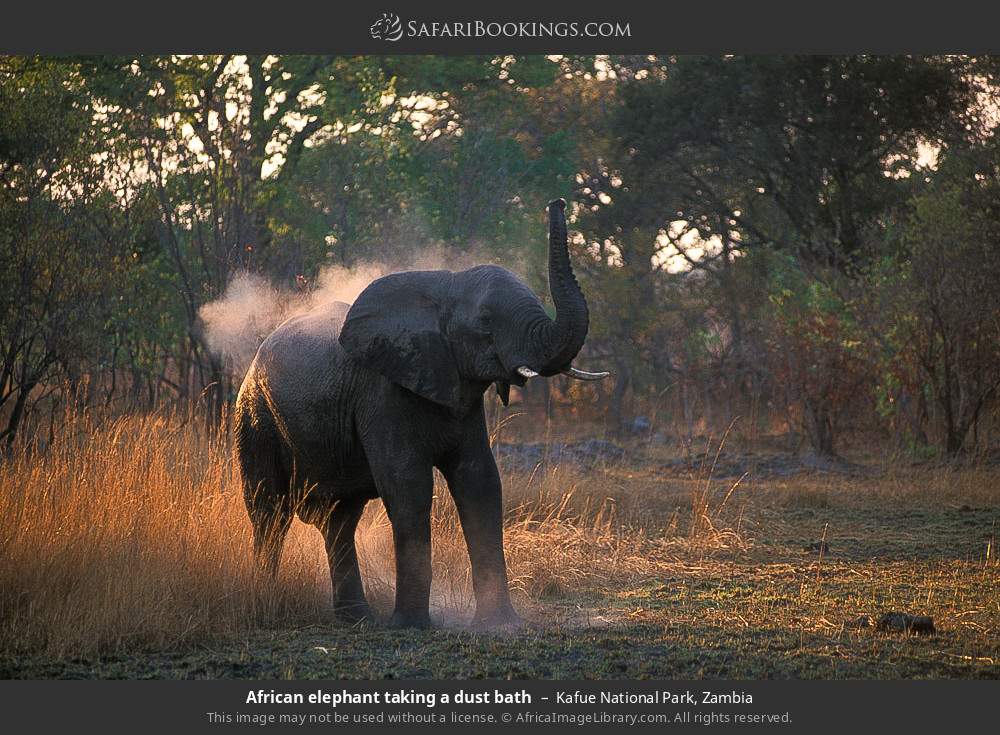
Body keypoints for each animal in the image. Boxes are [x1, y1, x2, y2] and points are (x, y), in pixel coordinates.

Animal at [233, 199, 608, 629]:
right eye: (485, 322)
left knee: (339, 519)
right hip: (255, 417)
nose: (557, 203)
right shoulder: (381, 393)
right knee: (269, 512)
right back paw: (267, 603)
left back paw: (358, 620)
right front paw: (410, 627)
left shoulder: (460, 394)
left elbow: (480, 480)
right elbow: (407, 484)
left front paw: (499, 625)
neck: (443, 287)